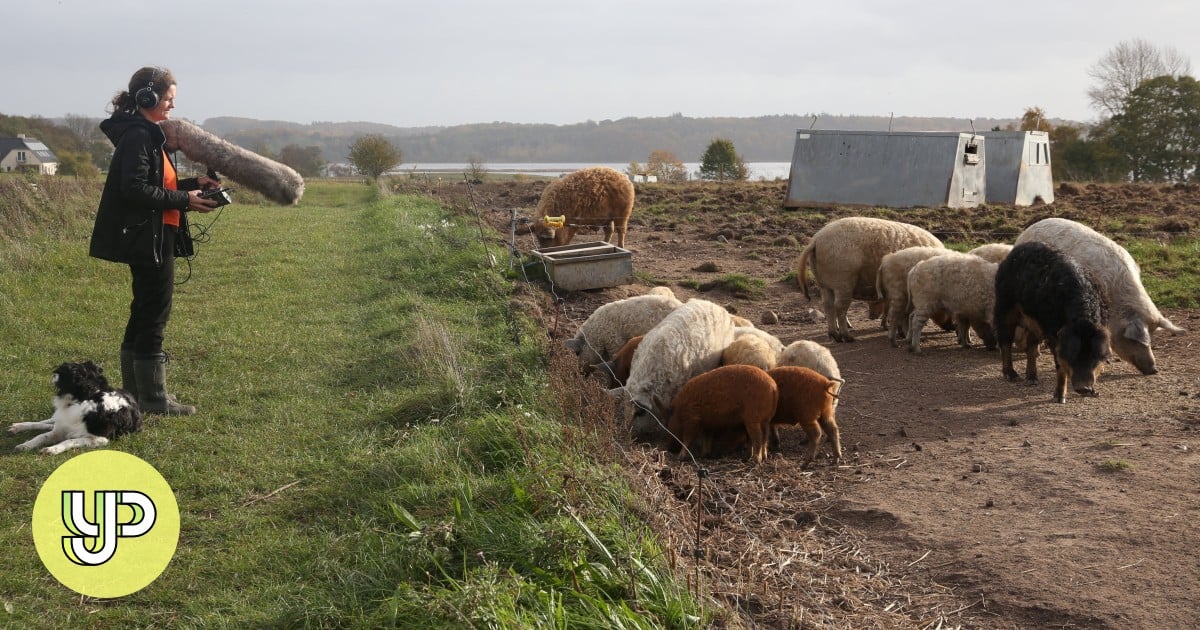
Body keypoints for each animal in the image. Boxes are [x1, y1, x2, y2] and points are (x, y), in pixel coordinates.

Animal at [8, 360, 142, 453]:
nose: (54, 374)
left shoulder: (99, 439)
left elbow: (69, 440)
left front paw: (53, 449)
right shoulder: (59, 429)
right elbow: (41, 436)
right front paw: (26, 445)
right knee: (45, 423)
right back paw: (18, 426)